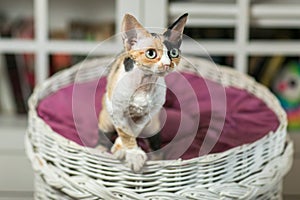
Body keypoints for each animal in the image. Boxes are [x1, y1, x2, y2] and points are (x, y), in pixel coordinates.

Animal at [98, 13, 188, 171]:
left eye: (173, 53)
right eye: (151, 54)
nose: (167, 64)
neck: (144, 84)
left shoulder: (149, 114)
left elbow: (133, 130)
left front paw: (125, 149)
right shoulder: (116, 109)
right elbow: (125, 131)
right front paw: (131, 153)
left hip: (153, 127)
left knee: (156, 149)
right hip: (106, 118)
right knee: (103, 135)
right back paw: (100, 148)